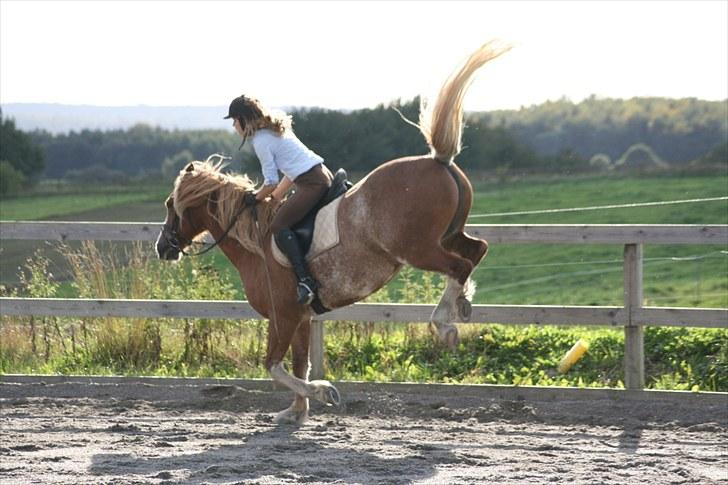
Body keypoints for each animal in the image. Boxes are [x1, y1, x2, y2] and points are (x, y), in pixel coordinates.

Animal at [158, 42, 512, 424]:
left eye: (170, 204)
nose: (162, 248)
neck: (255, 242)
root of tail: (439, 159)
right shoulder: (299, 318)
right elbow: (299, 364)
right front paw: (295, 412)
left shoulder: (283, 316)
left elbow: (274, 367)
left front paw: (324, 393)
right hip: (447, 235)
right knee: (476, 249)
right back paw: (462, 305)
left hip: (418, 248)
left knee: (460, 265)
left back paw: (445, 323)